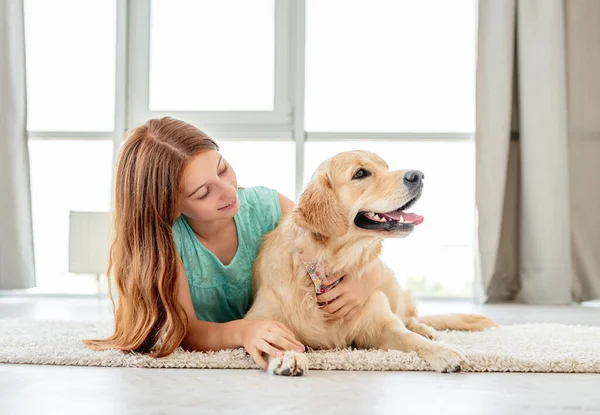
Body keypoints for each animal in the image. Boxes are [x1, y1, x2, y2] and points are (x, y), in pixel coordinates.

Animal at [244, 150, 496, 376]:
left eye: (386, 166)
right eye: (361, 173)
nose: (418, 175)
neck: (326, 267)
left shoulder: (382, 324)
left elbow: (409, 337)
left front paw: (443, 351)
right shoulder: (260, 318)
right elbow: (270, 337)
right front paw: (288, 355)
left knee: (410, 318)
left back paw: (425, 329)